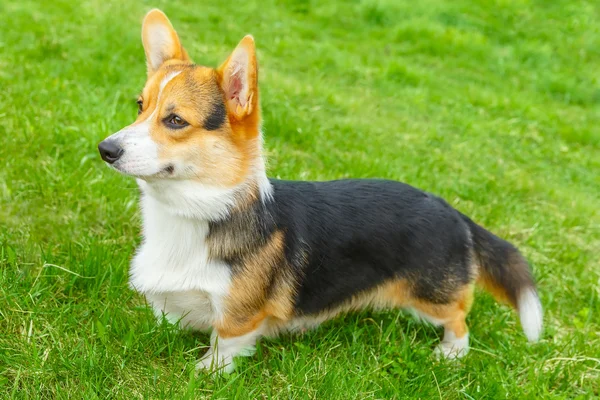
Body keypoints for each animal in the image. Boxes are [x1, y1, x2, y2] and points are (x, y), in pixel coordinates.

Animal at [99, 8, 544, 372]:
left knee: (459, 316)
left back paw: (451, 353)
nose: (105, 149)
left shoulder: (238, 317)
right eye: (139, 106)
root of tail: (451, 211)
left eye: (175, 120)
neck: (200, 212)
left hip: (430, 297)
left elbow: (224, 346)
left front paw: (204, 373)